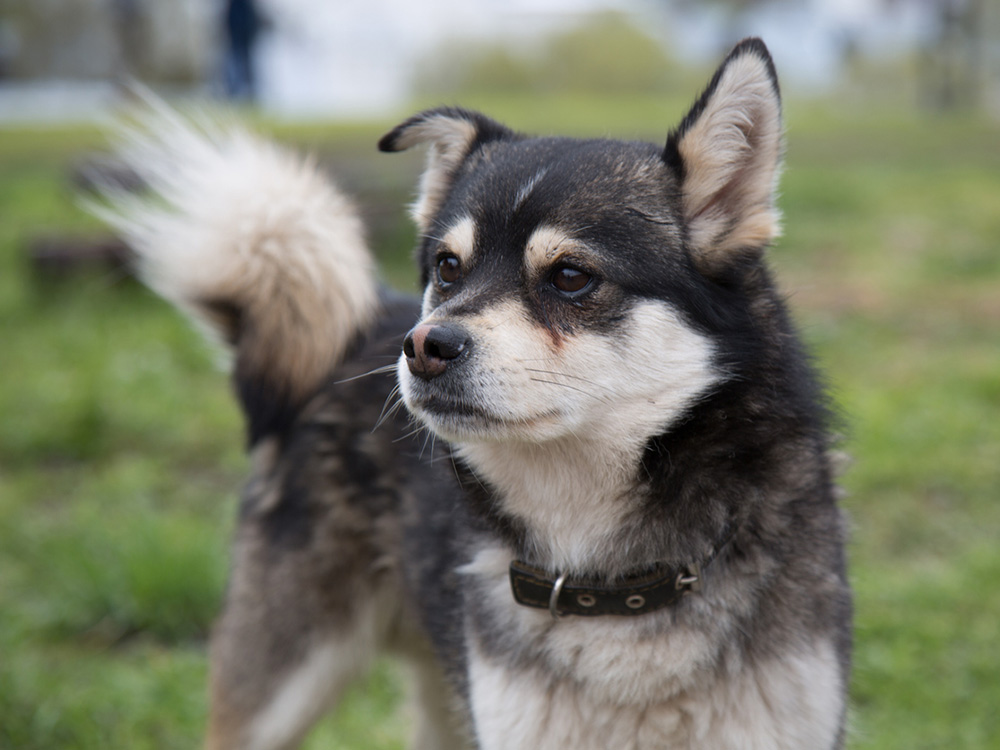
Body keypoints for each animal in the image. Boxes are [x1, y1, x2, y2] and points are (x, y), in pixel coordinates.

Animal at [99, 39, 852, 750]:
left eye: (571, 276)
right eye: (447, 267)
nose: (424, 347)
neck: (605, 581)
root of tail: (361, 324)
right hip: (280, 686)